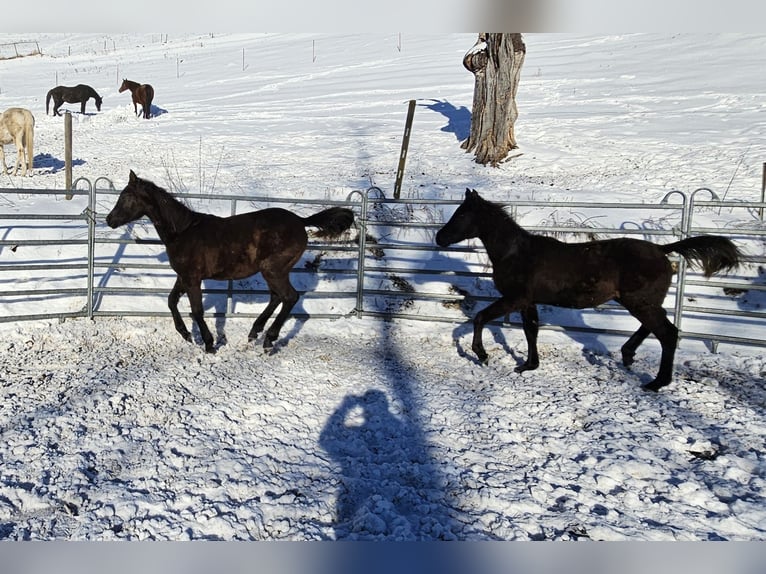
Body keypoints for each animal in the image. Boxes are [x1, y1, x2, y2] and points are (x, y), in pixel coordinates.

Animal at [106, 170, 355, 353]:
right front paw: (186, 334)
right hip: (274, 271)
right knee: (277, 297)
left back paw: (269, 340)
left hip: (273, 270)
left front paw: (208, 343)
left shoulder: (193, 278)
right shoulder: (183, 276)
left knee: (289, 297)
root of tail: (301, 222)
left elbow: (197, 310)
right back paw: (255, 332)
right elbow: (171, 301)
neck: (183, 231)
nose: (109, 220)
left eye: (126, 197)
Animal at [435, 188, 742, 391]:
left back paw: (657, 382)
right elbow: (531, 330)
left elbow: (480, 318)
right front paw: (528, 365)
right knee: (657, 325)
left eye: (461, 215)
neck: (516, 253)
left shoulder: (513, 298)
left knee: (667, 332)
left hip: (639, 302)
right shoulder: (527, 301)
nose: (439, 238)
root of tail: (662, 249)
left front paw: (482, 355)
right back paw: (628, 354)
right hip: (639, 301)